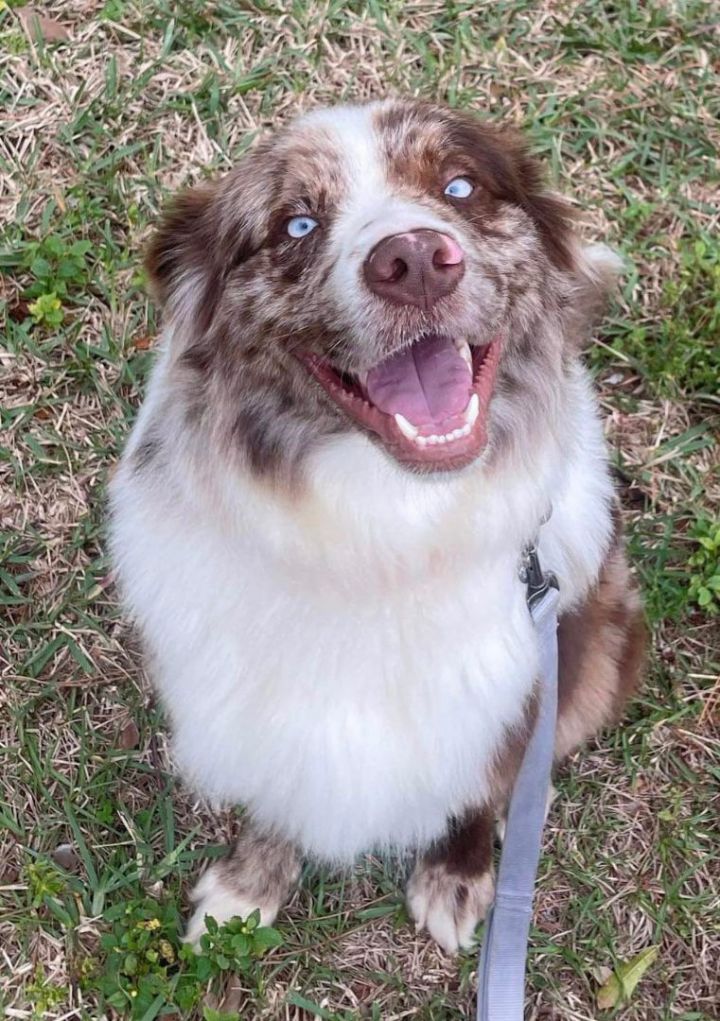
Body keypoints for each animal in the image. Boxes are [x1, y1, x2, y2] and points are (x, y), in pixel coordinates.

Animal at [108, 99, 645, 951]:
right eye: (295, 224)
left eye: (459, 186)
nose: (416, 259)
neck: (387, 526)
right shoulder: (252, 698)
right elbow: (276, 788)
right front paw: (247, 888)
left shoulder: (518, 684)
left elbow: (481, 783)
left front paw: (459, 873)